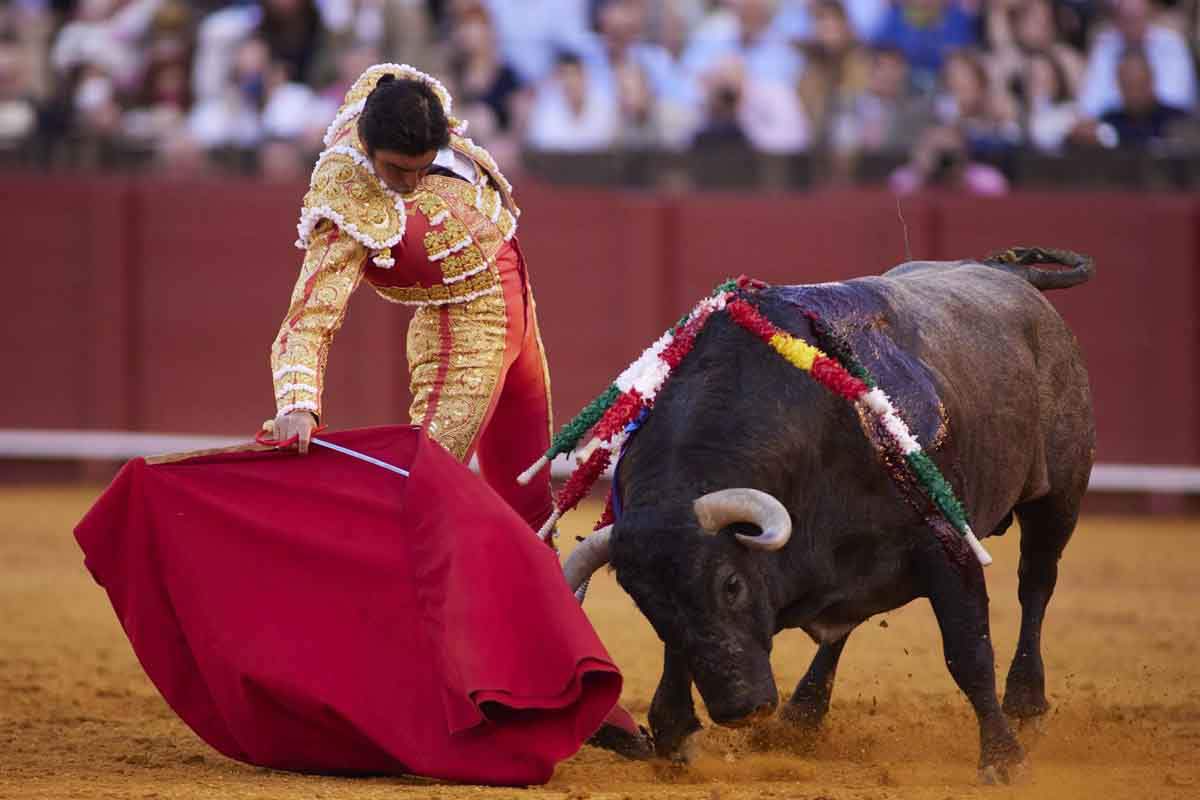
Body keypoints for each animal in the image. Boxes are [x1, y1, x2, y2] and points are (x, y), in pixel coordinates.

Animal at [561, 250, 1099, 782]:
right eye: (647, 606)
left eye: (732, 585)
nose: (740, 710)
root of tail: (1009, 272)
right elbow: (678, 651)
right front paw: (674, 734)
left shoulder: (947, 546)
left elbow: (968, 651)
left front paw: (1002, 758)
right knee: (847, 619)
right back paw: (800, 716)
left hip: (1059, 497)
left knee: (1035, 584)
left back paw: (1026, 705)